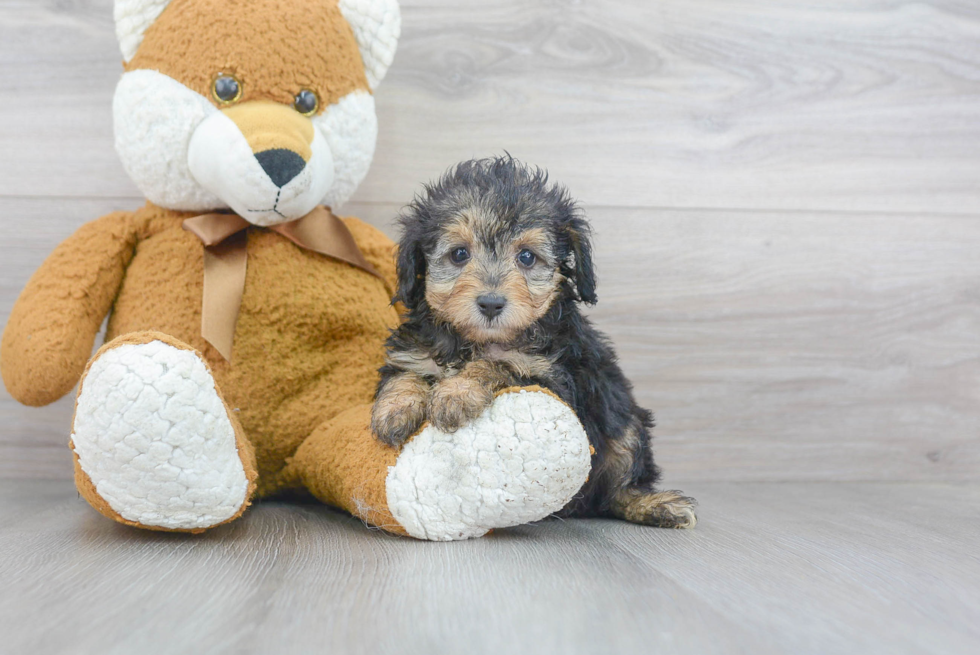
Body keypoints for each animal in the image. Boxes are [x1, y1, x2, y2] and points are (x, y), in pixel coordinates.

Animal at [370, 158, 696, 528]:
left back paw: (654, 505)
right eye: (459, 254)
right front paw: (395, 410)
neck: (477, 340)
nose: (491, 303)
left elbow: (497, 363)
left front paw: (457, 393)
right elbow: (405, 373)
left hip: (625, 426)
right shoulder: (413, 352)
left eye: (527, 257)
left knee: (619, 485)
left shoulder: (554, 379)